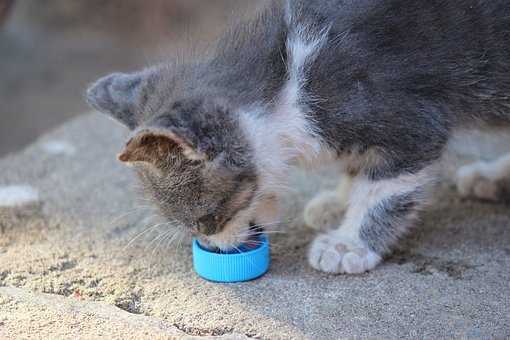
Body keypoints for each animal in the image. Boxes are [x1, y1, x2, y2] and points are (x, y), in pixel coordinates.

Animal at [87, 0, 510, 274]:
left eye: (207, 220)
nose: (213, 248)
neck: (289, 85)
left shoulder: (411, 120)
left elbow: (384, 189)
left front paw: (348, 242)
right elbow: (358, 166)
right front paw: (339, 202)